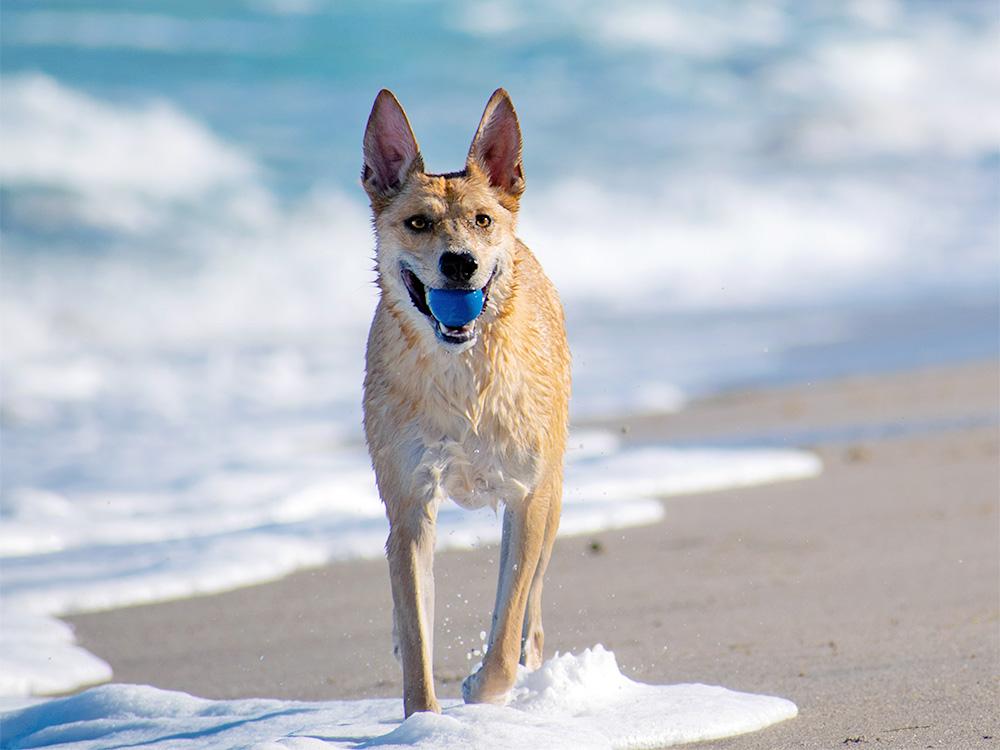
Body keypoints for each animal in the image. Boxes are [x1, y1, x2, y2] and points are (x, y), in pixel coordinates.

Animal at [360, 88, 572, 716]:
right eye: (418, 222)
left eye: (482, 219)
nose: (460, 262)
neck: (462, 374)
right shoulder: (410, 506)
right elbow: (416, 626)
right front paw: (423, 720)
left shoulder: (529, 495)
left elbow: (506, 622)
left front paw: (485, 688)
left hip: (551, 497)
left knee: (529, 602)